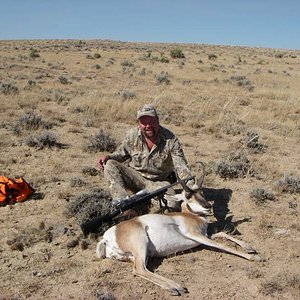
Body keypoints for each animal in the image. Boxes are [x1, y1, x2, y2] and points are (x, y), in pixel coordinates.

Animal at [96, 175, 262, 294]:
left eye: (202, 192)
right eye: (188, 196)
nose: (208, 206)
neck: (190, 215)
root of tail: (106, 237)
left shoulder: (205, 235)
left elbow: (222, 233)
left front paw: (249, 248)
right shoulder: (196, 235)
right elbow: (221, 245)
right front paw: (255, 257)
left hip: (142, 254)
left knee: (142, 269)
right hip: (141, 245)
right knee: (139, 269)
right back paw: (177, 287)